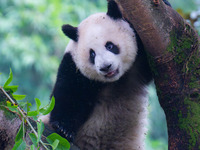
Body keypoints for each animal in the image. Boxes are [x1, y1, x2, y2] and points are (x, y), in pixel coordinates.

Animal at [46, 0, 170, 150]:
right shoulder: (74, 68)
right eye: (92, 54)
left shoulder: (140, 60)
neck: (114, 81)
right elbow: (68, 96)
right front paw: (63, 129)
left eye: (110, 46)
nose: (106, 67)